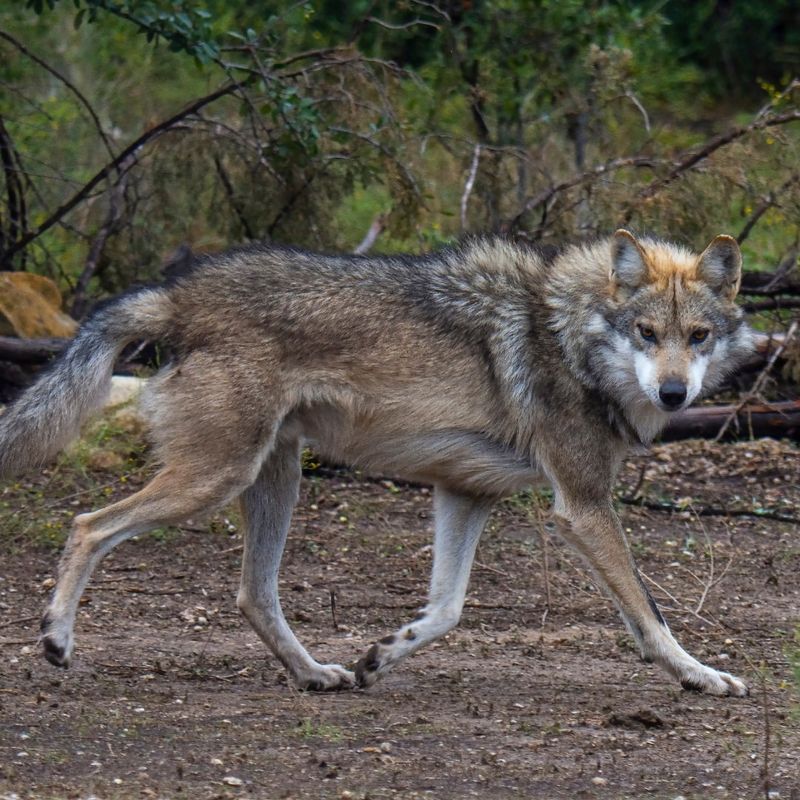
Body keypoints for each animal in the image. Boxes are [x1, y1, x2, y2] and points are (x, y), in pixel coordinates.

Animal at [0, 227, 752, 692]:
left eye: (698, 336)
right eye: (646, 333)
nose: (675, 392)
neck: (570, 335)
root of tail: (178, 292)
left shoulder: (465, 493)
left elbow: (446, 610)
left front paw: (381, 656)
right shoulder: (582, 508)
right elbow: (650, 614)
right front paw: (701, 676)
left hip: (273, 481)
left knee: (253, 593)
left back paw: (314, 675)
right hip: (214, 480)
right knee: (87, 525)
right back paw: (56, 639)